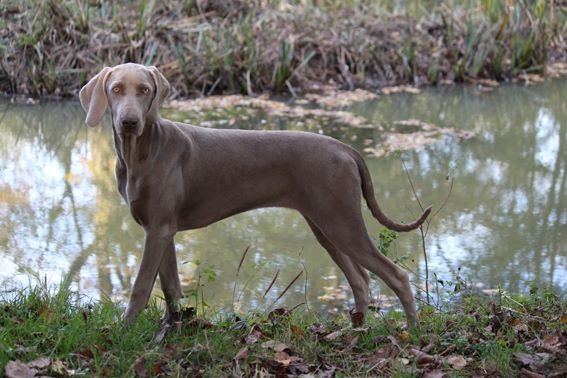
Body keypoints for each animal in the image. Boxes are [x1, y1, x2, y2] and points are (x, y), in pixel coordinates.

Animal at [80, 63, 432, 326]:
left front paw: (125, 332)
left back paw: (411, 329)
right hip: (325, 226)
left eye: (145, 90)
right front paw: (174, 330)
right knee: (360, 278)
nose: (129, 121)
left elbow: (141, 288)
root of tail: (345, 147)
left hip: (341, 222)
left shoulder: (159, 230)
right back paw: (354, 330)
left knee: (396, 275)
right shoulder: (162, 229)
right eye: (116, 89)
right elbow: (171, 289)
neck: (140, 153)